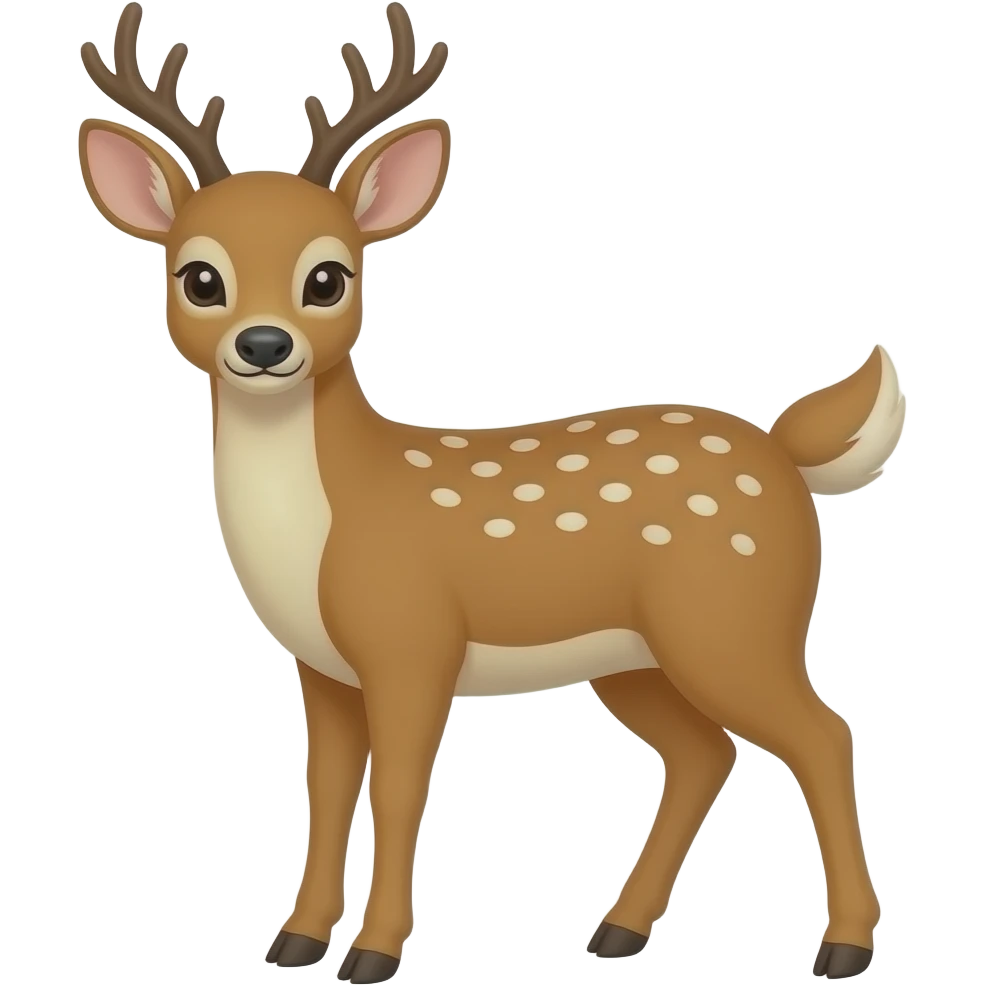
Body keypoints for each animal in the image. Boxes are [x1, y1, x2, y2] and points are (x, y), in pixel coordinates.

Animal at [77, 2, 902, 980]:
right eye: (199, 276)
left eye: (330, 276)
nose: (266, 345)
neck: (331, 518)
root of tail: (782, 454)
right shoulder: (322, 668)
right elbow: (325, 790)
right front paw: (295, 940)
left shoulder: (412, 644)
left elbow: (398, 789)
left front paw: (373, 953)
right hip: (637, 656)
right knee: (705, 753)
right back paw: (617, 931)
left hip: (731, 619)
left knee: (821, 734)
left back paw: (841, 946)